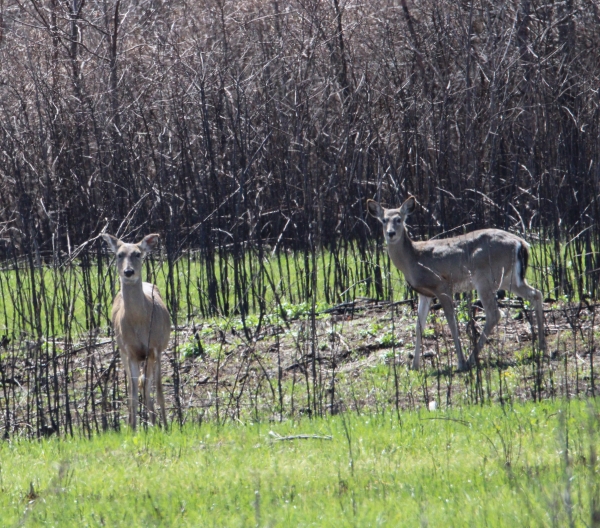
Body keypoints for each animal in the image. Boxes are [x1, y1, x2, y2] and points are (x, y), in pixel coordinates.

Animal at [103, 233, 171, 426]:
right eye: (119, 254)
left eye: (138, 254)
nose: (128, 272)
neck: (141, 322)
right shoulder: (130, 351)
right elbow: (132, 393)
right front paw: (132, 427)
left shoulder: (155, 347)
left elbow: (158, 389)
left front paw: (165, 425)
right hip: (122, 351)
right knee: (138, 384)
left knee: (146, 384)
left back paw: (155, 422)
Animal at [368, 197, 548, 372]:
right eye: (384, 220)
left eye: (399, 219)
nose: (391, 233)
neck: (413, 258)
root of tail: (521, 243)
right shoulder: (424, 293)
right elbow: (419, 327)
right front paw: (414, 366)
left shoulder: (442, 285)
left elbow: (452, 323)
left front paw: (459, 362)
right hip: (509, 280)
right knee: (536, 294)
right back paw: (542, 348)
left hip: (485, 277)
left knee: (494, 314)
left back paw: (470, 360)